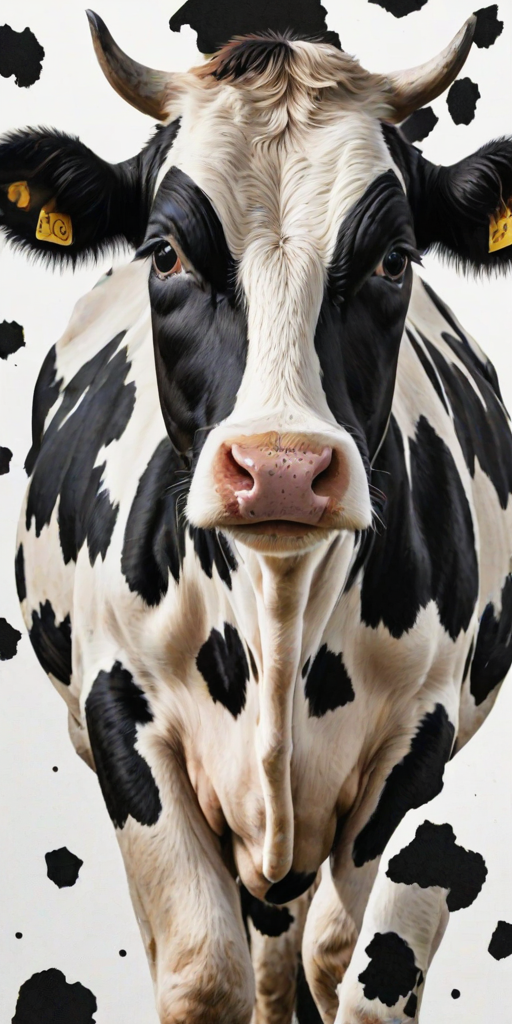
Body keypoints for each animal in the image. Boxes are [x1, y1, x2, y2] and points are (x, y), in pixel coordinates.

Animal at [2, 11, 512, 1023]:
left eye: (394, 258)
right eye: (165, 254)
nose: (281, 471)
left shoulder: (419, 736)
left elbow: (342, 959)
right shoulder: (120, 711)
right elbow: (205, 969)